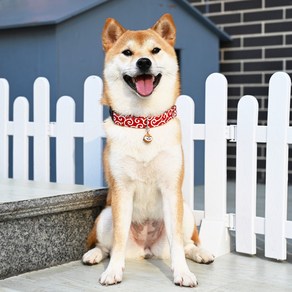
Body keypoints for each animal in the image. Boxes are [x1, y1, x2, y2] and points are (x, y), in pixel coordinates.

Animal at [82, 14, 214, 288]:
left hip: (185, 212)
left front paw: (183, 273)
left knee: (186, 244)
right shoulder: (122, 190)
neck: (144, 123)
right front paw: (113, 271)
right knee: (106, 246)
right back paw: (94, 254)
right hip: (106, 215)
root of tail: (146, 249)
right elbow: (118, 239)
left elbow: (177, 243)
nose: (144, 62)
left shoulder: (171, 189)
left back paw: (200, 253)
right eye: (127, 52)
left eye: (155, 50)